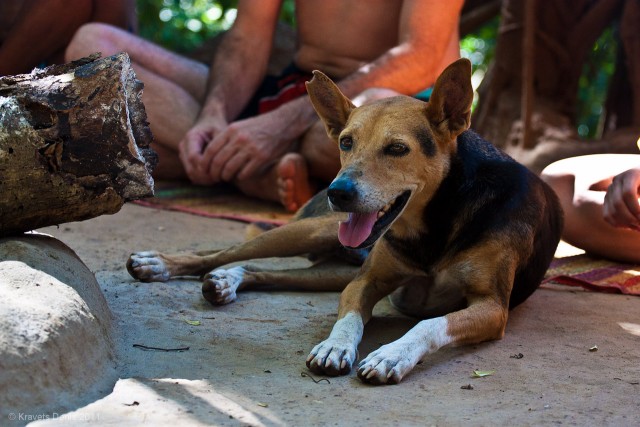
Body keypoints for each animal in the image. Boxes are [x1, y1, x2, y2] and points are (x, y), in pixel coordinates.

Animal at [127, 59, 564, 388]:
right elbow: (350, 319)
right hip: (313, 232)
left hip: (333, 269)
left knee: (262, 270)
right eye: (346, 142)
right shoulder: (365, 281)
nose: (338, 192)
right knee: (220, 252)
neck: (436, 220)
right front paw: (334, 347)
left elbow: (429, 324)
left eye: (398, 149)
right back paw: (160, 263)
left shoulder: (492, 307)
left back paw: (226, 280)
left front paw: (392, 354)